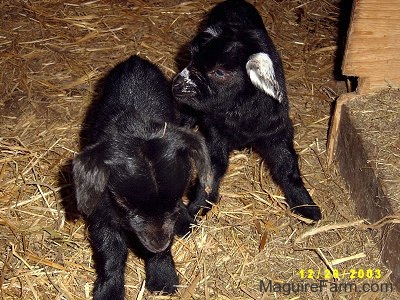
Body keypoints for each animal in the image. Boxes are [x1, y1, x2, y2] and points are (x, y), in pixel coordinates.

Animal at [173, 0, 322, 223]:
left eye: (219, 72)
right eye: (191, 59)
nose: (176, 85)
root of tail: (234, 2)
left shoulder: (277, 131)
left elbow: (287, 167)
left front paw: (307, 206)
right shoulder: (215, 131)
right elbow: (213, 168)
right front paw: (197, 207)